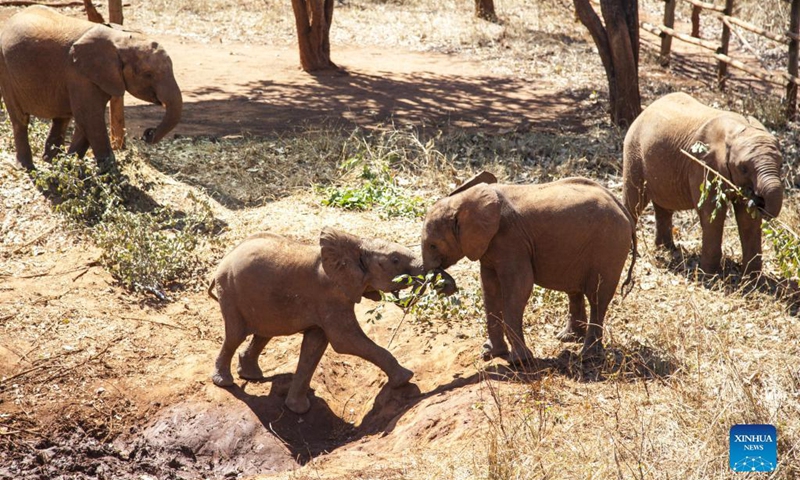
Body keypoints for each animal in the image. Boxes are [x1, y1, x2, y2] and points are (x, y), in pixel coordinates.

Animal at [0, 6, 182, 171]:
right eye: (148, 74)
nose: (147, 134)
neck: (120, 39)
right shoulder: (80, 75)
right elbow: (90, 117)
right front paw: (109, 173)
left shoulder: (99, 78)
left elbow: (86, 120)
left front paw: (69, 166)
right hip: (6, 71)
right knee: (20, 119)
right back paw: (26, 167)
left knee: (61, 119)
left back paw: (50, 161)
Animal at [208, 228, 456, 414]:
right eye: (395, 260)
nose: (448, 285)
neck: (356, 244)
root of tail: (221, 264)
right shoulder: (330, 295)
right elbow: (345, 341)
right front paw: (406, 378)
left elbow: (315, 345)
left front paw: (298, 409)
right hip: (230, 291)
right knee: (236, 335)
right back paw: (224, 382)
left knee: (264, 333)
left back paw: (252, 376)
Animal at [421, 172, 636, 363]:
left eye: (433, 246)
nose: (444, 283)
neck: (463, 200)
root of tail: (622, 208)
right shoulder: (490, 246)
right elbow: (489, 288)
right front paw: (490, 354)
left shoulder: (510, 240)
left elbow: (519, 287)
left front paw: (519, 361)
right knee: (575, 290)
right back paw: (567, 338)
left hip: (609, 245)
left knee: (597, 297)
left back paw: (587, 356)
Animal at [623, 92, 783, 275]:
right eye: (743, 169)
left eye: (781, 165)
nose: (757, 200)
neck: (737, 130)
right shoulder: (703, 165)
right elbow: (712, 213)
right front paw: (709, 275)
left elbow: (747, 219)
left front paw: (751, 278)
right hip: (634, 152)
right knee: (635, 200)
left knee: (664, 206)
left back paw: (667, 249)